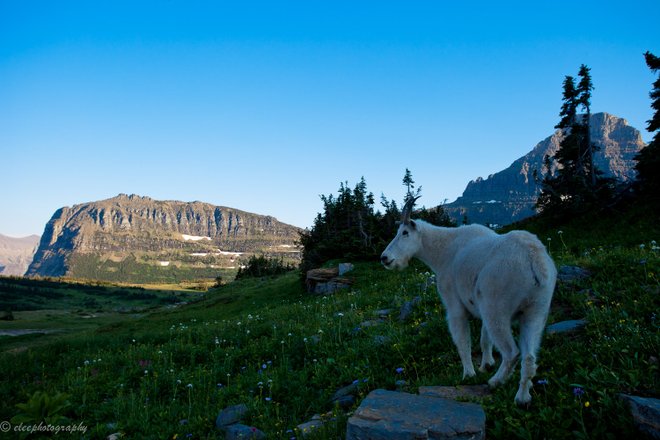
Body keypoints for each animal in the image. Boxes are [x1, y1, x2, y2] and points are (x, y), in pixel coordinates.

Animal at [382, 198, 556, 404]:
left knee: (512, 352)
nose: (384, 258)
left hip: (497, 310)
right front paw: (486, 364)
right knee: (529, 356)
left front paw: (468, 374)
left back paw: (495, 382)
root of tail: (534, 260)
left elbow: (463, 341)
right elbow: (484, 339)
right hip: (536, 309)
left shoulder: (455, 305)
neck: (443, 251)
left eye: (405, 233)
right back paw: (522, 397)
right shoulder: (481, 306)